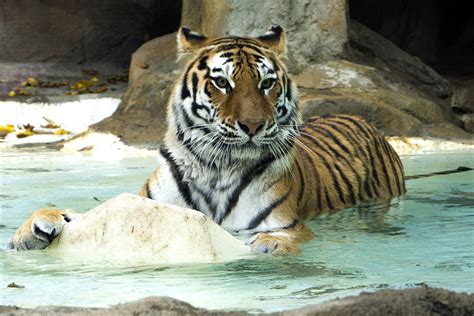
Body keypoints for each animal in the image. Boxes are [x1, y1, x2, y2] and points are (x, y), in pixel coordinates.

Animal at [7, 25, 406, 256]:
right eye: (221, 82)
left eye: (266, 83)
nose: (253, 125)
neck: (218, 166)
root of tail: (358, 117)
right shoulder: (146, 204)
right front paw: (33, 228)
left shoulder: (288, 224)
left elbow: (279, 238)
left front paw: (264, 247)